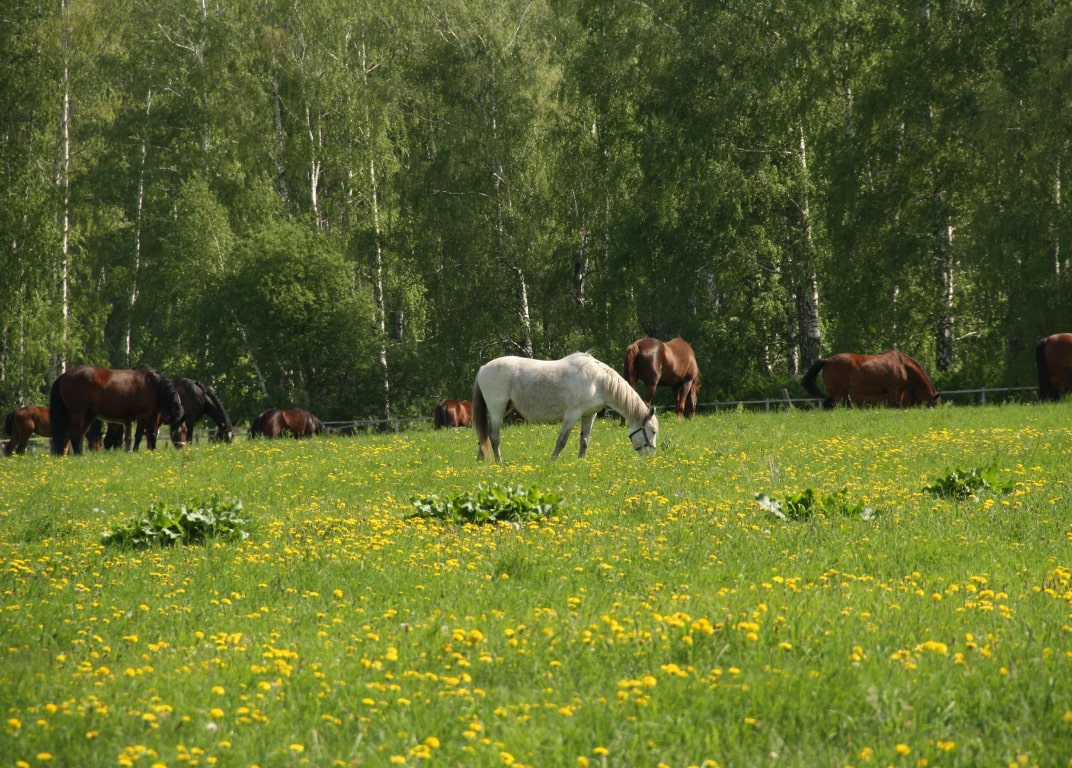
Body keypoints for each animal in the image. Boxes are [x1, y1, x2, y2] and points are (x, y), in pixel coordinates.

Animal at [49, 364, 186, 455]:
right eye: (182, 431)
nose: (182, 447)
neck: (154, 385)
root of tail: (64, 375)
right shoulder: (143, 416)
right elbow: (139, 435)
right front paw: (135, 451)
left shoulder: (152, 417)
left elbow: (151, 434)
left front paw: (153, 451)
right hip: (77, 413)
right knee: (73, 433)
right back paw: (78, 454)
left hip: (89, 415)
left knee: (80, 434)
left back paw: (80, 454)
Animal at [472, 351, 659, 462]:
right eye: (653, 431)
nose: (651, 457)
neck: (597, 381)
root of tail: (483, 368)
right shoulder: (571, 415)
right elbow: (561, 440)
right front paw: (552, 460)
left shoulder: (589, 415)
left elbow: (585, 440)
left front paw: (581, 461)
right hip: (497, 409)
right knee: (494, 436)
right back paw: (498, 462)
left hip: (504, 409)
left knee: (485, 434)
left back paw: (482, 459)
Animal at [801, 349, 940, 409]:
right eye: (936, 403)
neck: (903, 365)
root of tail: (827, 361)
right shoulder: (893, 390)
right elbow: (894, 406)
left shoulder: (899, 392)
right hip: (837, 392)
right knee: (829, 405)